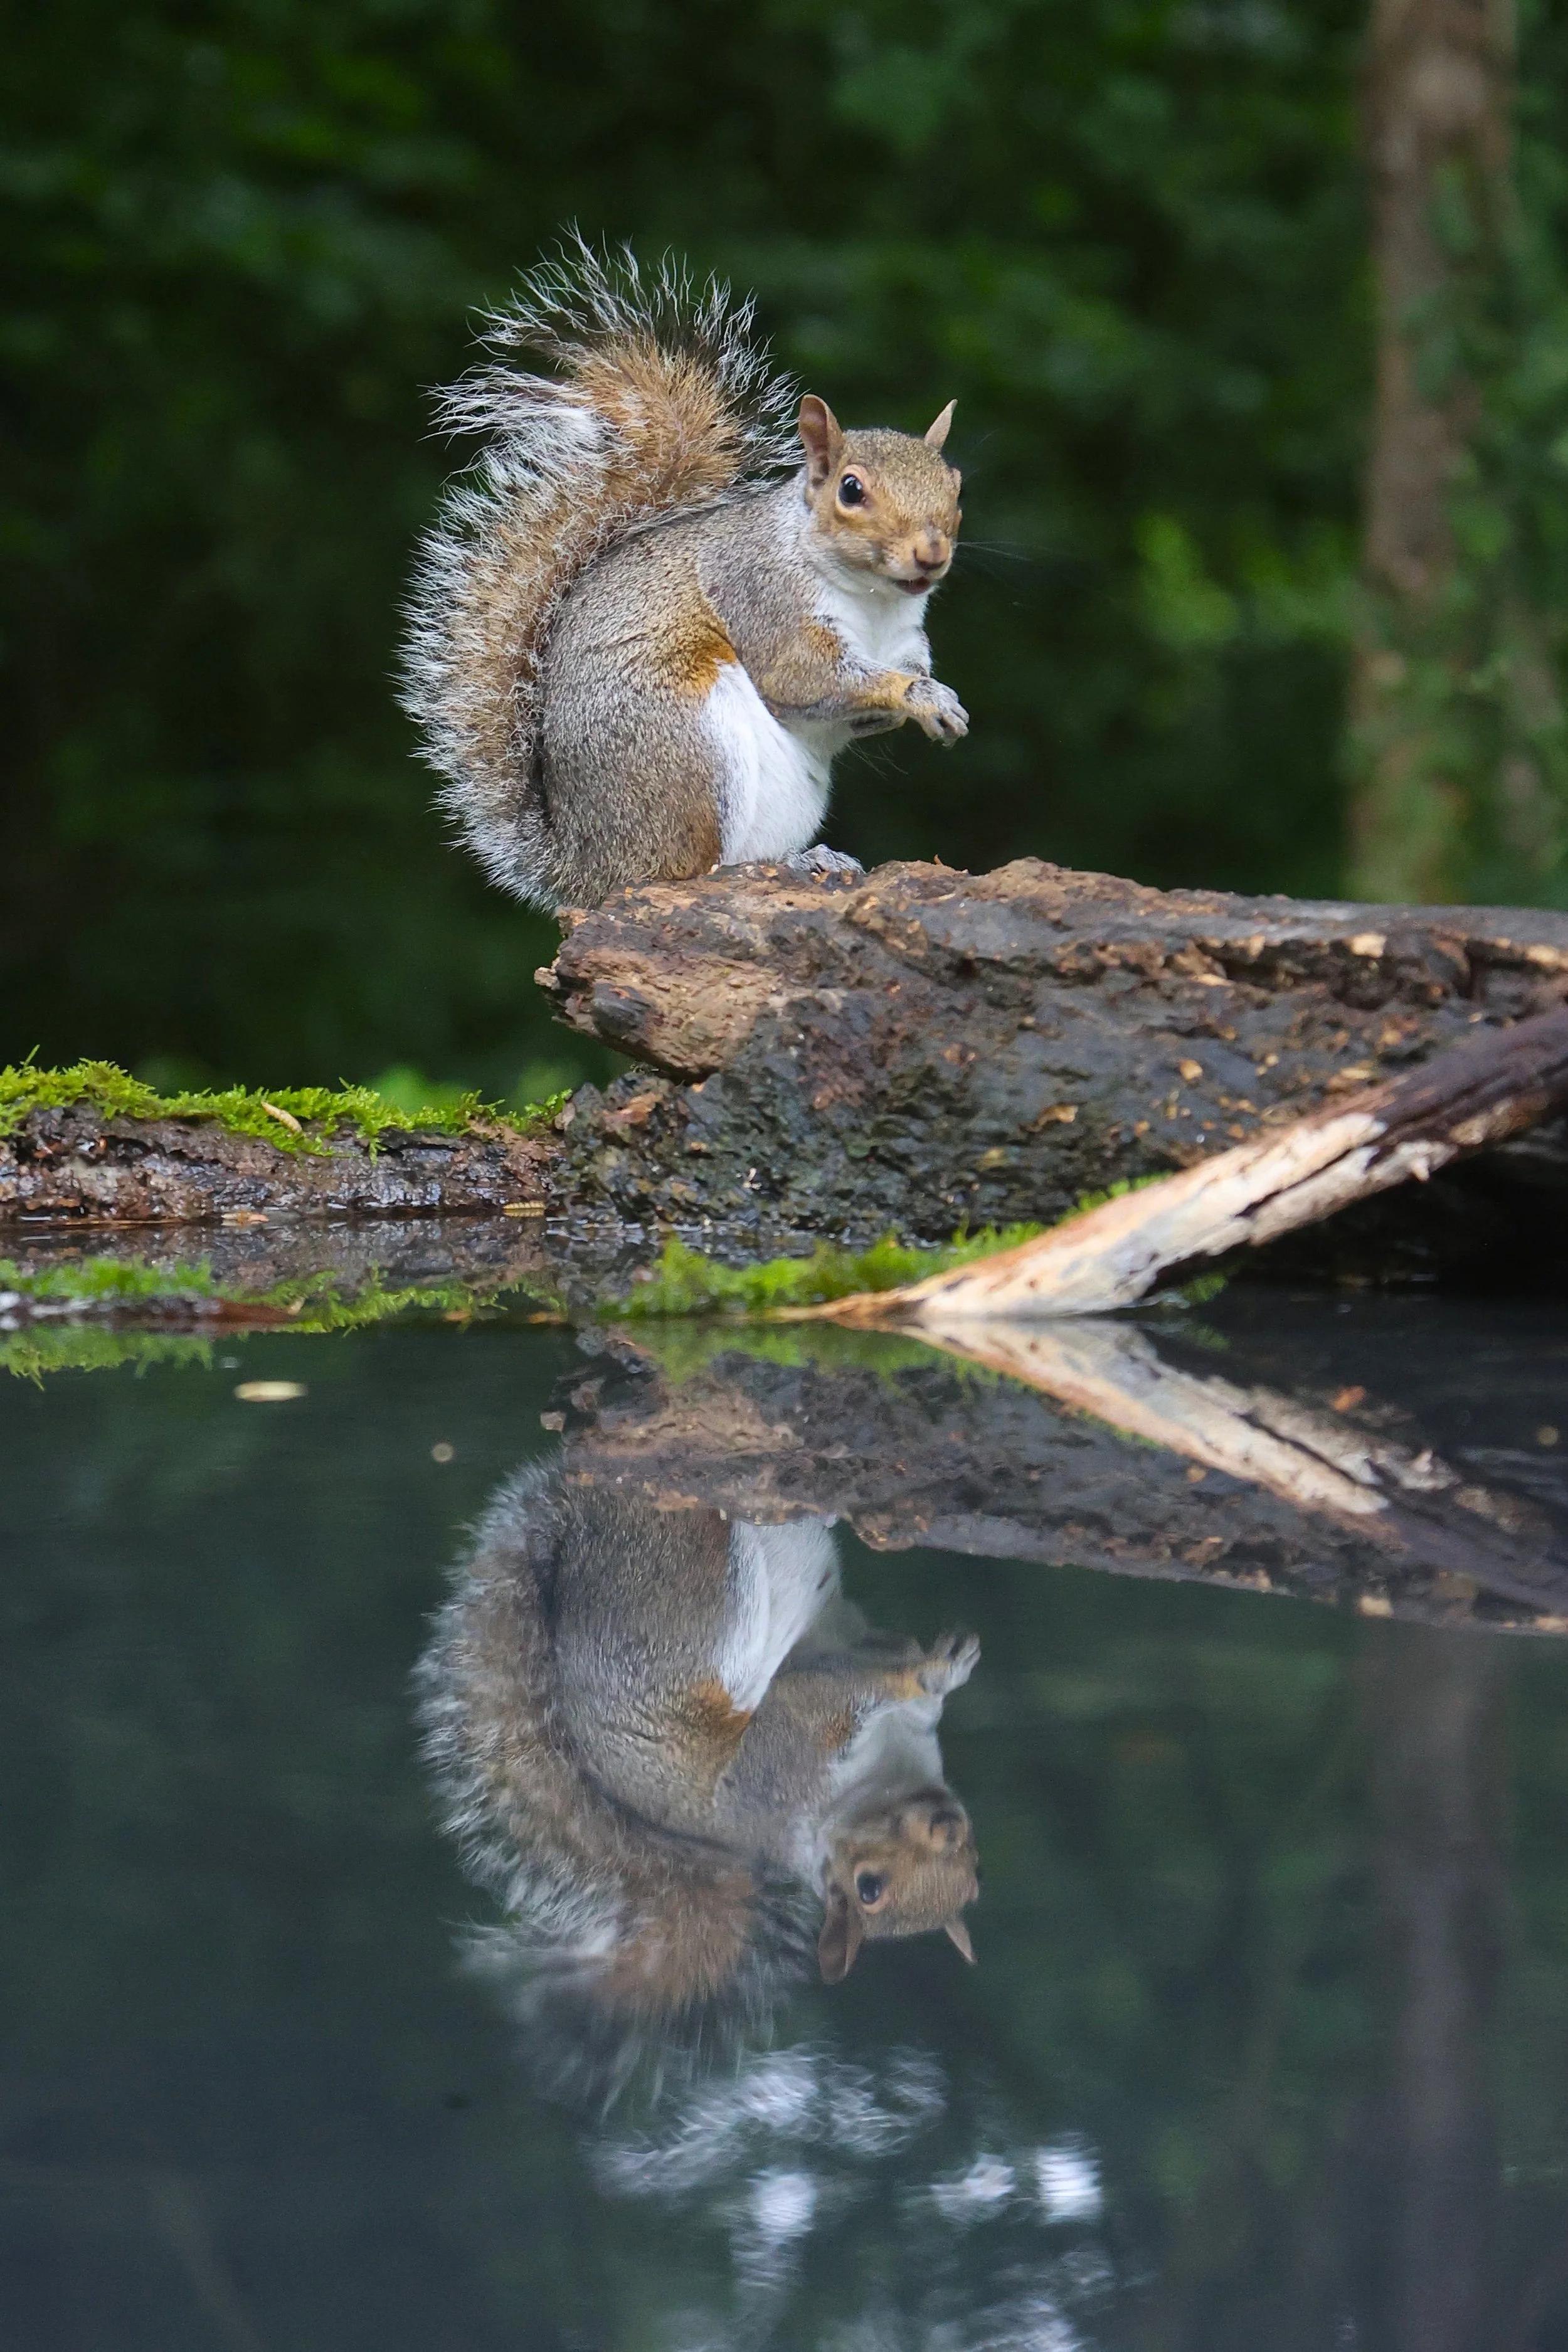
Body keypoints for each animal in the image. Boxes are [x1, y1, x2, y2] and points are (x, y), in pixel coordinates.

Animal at [400, 238, 967, 911]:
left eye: (957, 487)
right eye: (851, 490)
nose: (930, 555)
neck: (875, 600)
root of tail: (590, 868)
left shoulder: (905, 635)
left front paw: (927, 695)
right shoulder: (762, 596)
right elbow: (803, 676)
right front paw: (918, 697)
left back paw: (812, 857)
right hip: (687, 740)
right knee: (685, 870)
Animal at [415, 1467, 979, 2090]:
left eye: (975, 1873)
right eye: (869, 1889)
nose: (946, 1824)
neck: (877, 1781)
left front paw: (933, 1674)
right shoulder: (786, 1750)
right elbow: (844, 1685)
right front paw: (928, 1671)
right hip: (697, 1604)